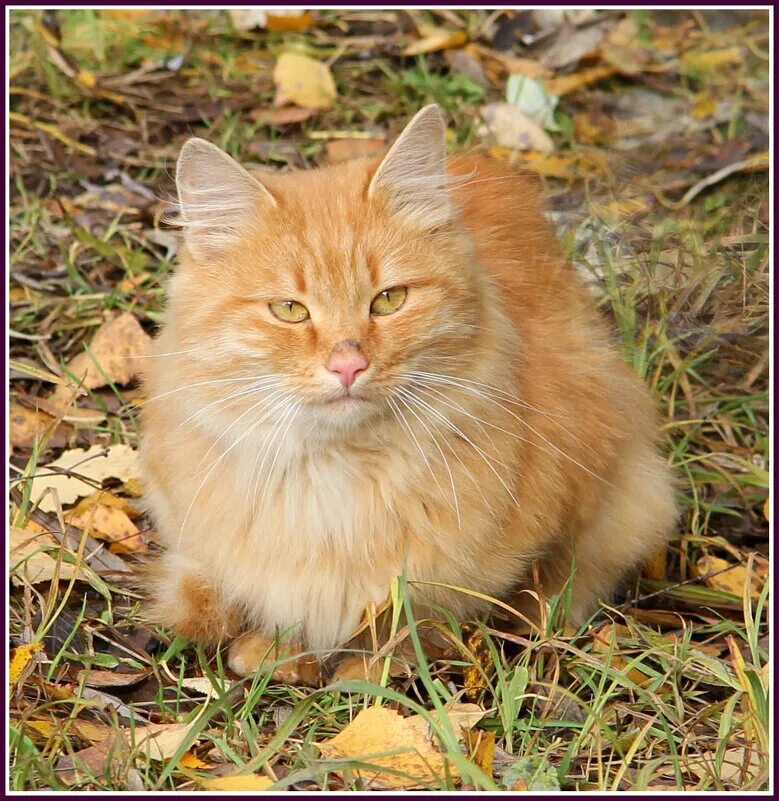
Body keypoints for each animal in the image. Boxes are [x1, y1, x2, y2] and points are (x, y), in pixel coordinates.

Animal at [140, 104, 676, 680]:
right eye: (289, 310)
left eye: (389, 300)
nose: (348, 364)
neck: (340, 479)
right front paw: (279, 652)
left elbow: (414, 617)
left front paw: (371, 669)